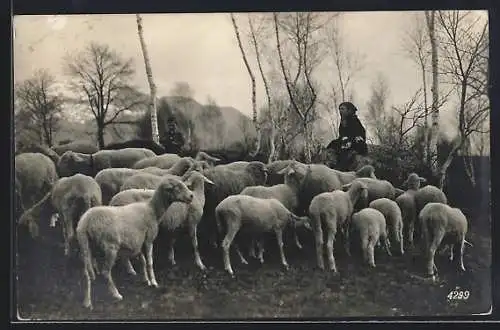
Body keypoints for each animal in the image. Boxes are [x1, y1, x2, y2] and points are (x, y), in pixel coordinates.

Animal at [75, 177, 193, 308]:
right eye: (177, 187)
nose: (191, 196)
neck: (152, 210)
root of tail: (85, 223)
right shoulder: (149, 239)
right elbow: (149, 262)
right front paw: (154, 282)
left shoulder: (139, 241)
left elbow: (143, 261)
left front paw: (146, 280)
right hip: (110, 247)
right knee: (106, 272)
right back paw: (116, 294)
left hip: (86, 246)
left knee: (86, 273)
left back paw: (87, 302)